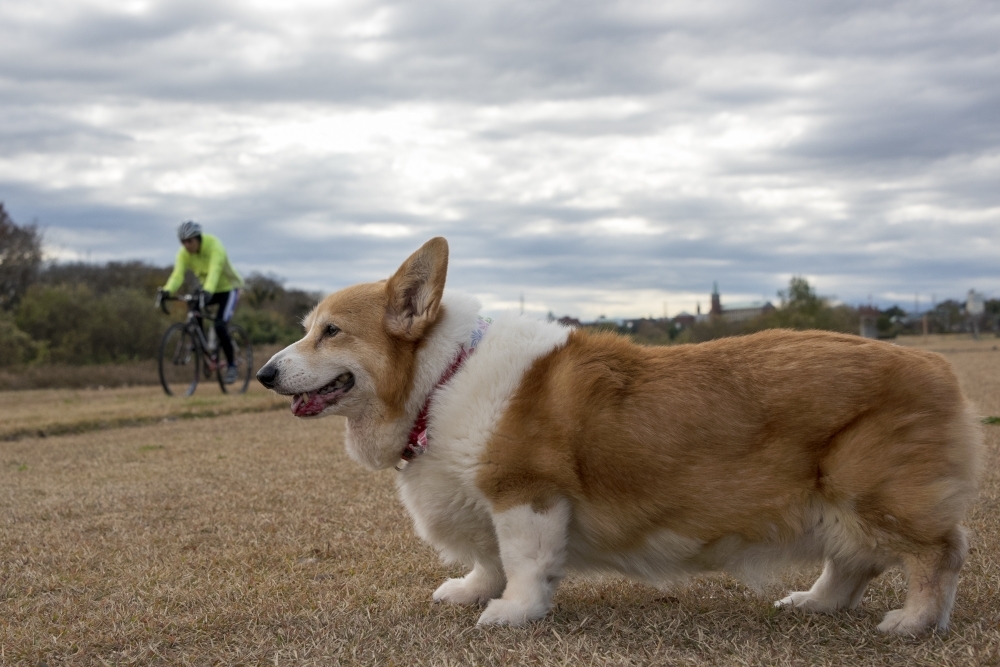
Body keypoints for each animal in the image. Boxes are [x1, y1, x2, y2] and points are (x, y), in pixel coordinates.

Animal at [258, 237, 984, 636]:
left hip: (871, 492)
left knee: (939, 553)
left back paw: (914, 622)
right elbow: (488, 558)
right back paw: (816, 602)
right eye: (307, 327)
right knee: (852, 561)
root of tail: (938, 364)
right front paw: (471, 590)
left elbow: (523, 562)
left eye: (330, 331)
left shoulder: (525, 493)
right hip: (835, 501)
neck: (440, 378)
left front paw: (512, 613)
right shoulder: (481, 502)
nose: (264, 373)